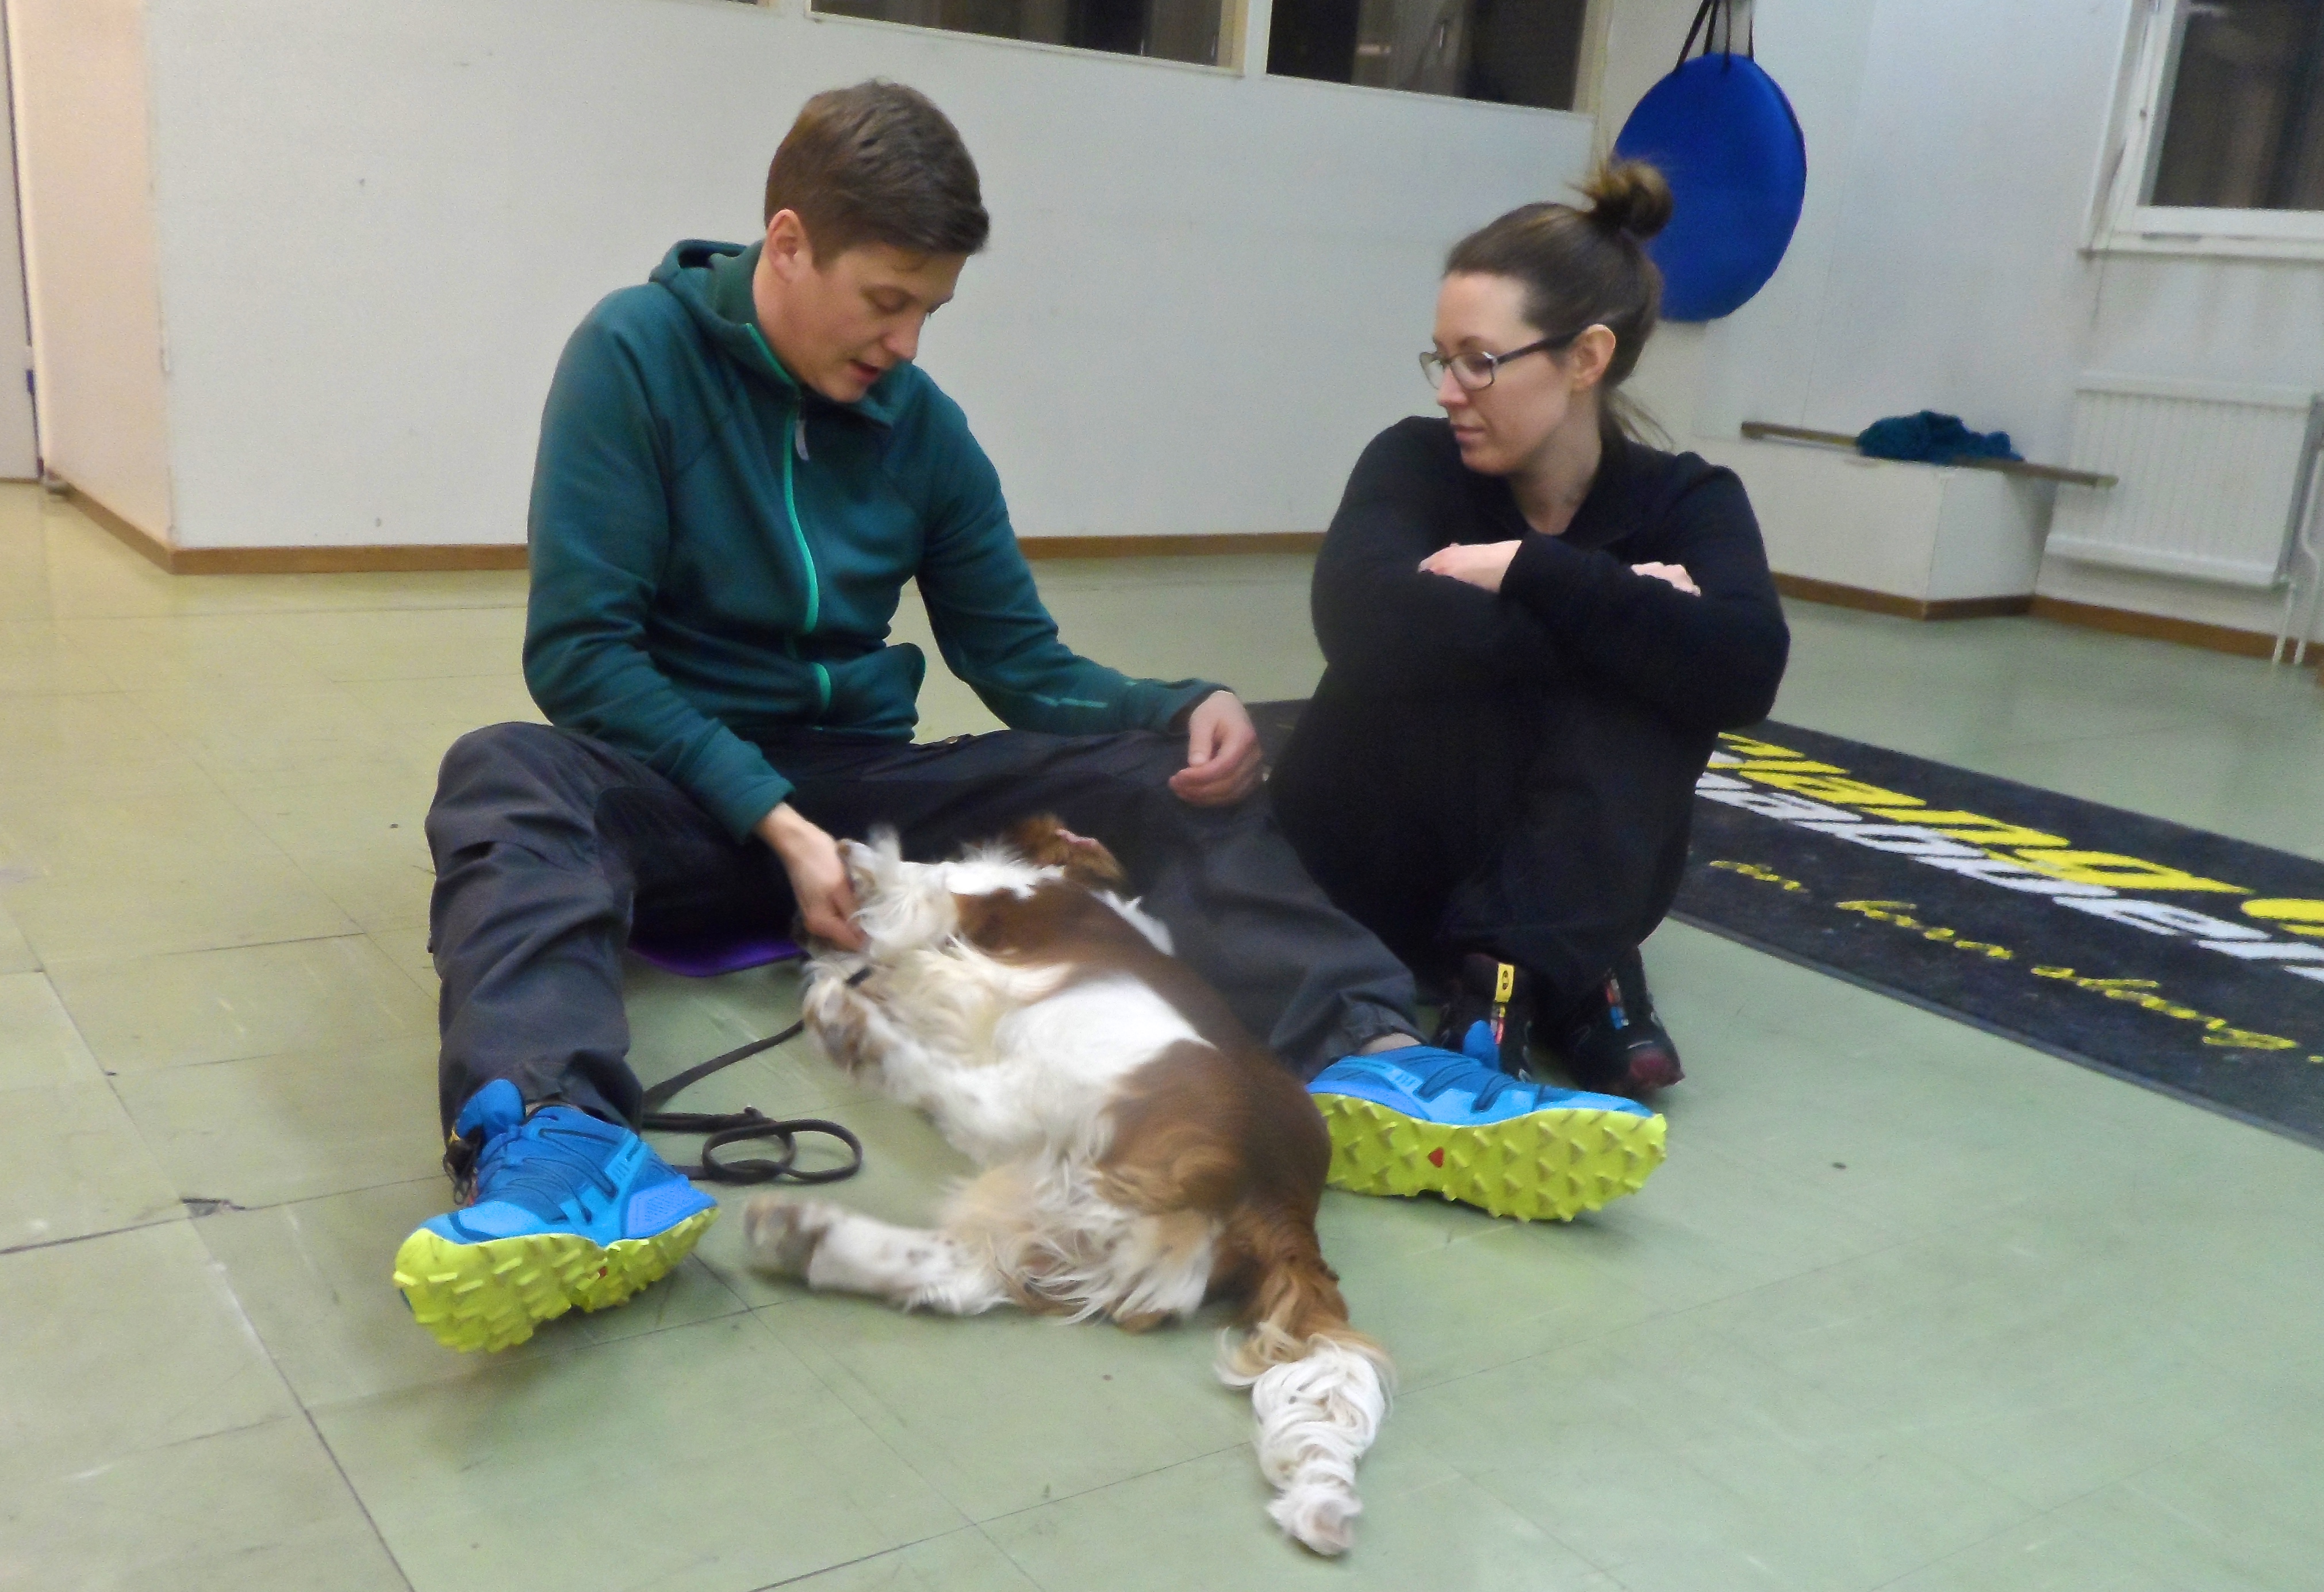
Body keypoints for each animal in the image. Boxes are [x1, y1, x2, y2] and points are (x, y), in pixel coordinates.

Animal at [743, 816, 1391, 1555]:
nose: (799, 913)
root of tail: (1281, 1203)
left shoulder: (964, 902)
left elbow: (913, 883)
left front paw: (856, 866)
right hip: (1066, 1194)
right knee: (964, 1271)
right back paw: (802, 1234)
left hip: (1069, 1088)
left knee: (970, 1110)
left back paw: (851, 1036)